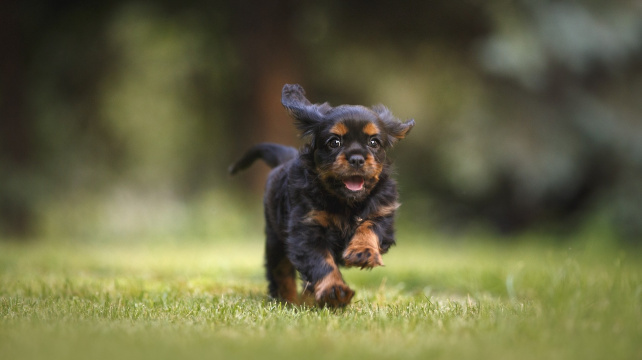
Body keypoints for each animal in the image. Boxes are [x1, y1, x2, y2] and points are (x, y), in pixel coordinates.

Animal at [228, 84, 412, 306]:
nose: (357, 159)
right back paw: (289, 300)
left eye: (374, 142)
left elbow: (369, 227)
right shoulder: (306, 230)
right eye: (334, 142)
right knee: (280, 272)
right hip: (275, 240)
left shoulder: (383, 213)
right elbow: (321, 262)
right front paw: (335, 291)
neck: (346, 202)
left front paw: (362, 251)